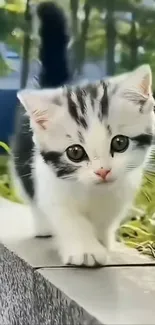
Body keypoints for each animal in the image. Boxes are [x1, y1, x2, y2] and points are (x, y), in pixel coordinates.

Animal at [13, 64, 154, 266]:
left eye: (120, 142)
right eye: (75, 152)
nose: (103, 171)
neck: (94, 191)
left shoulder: (122, 189)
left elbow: (105, 219)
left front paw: (102, 241)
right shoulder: (51, 186)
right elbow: (70, 219)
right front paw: (87, 250)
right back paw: (43, 228)